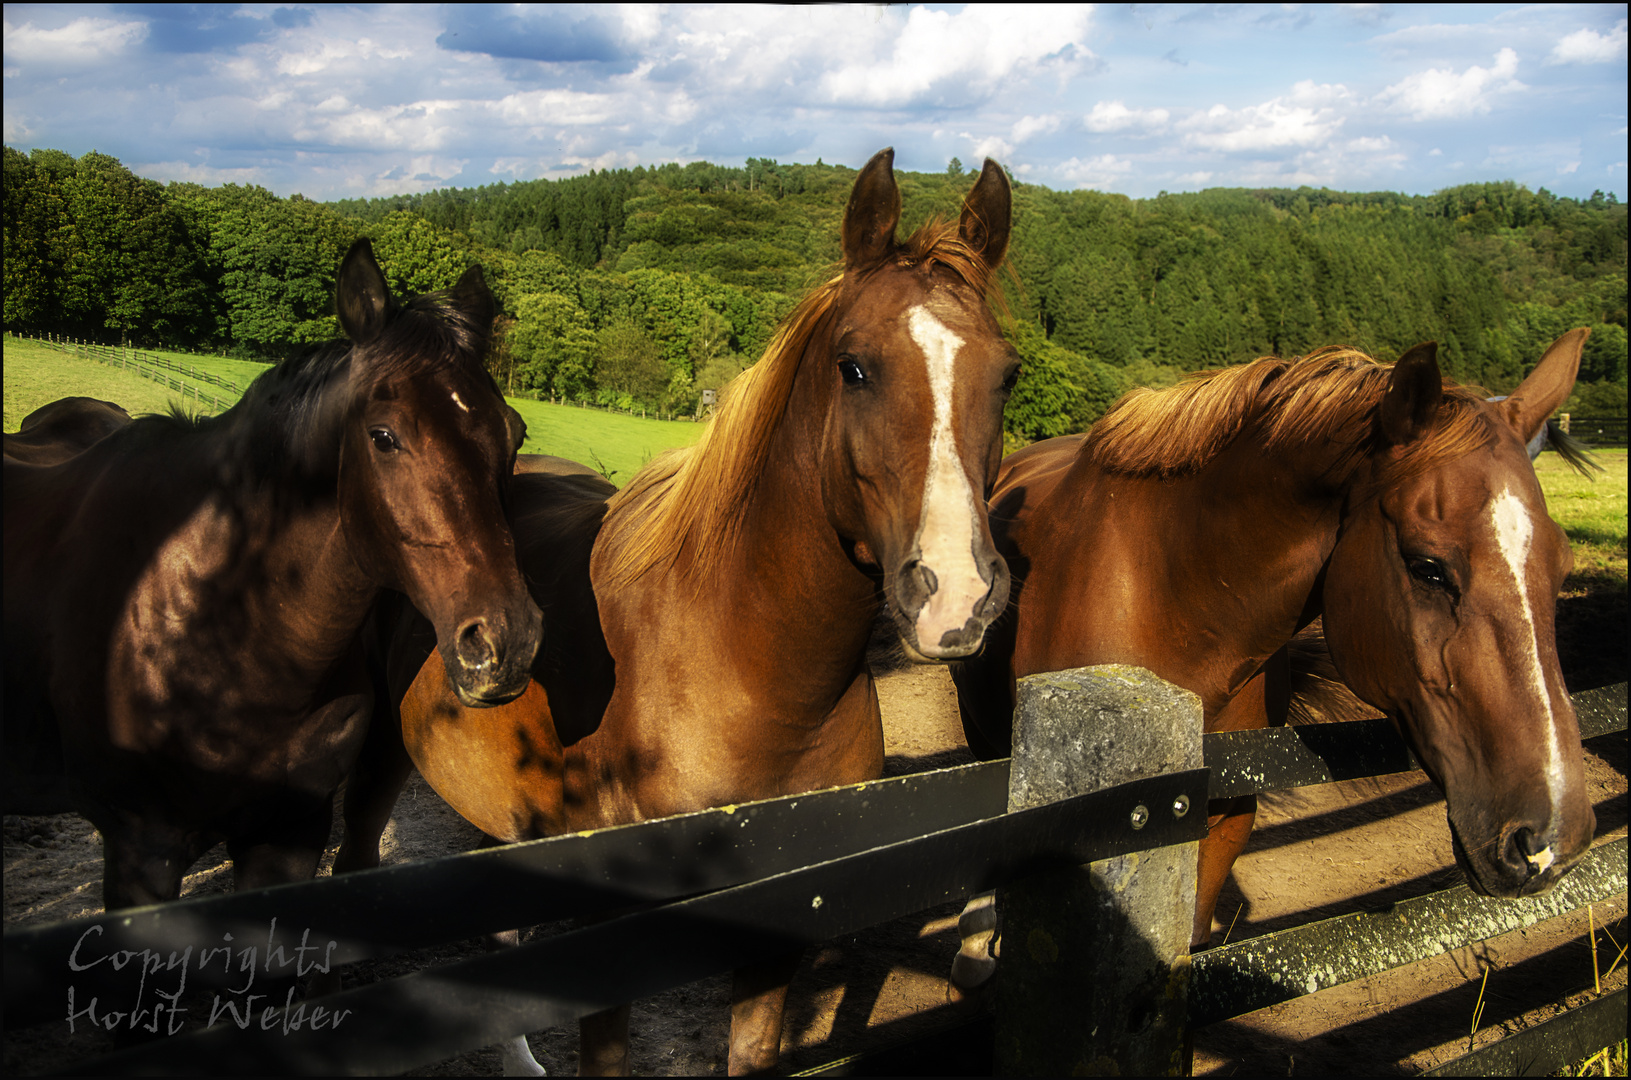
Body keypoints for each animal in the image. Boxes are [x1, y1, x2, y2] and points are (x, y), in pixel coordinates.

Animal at [334, 148, 1017, 1076]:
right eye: (854, 366)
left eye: (1006, 375)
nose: (956, 594)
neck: (744, 674)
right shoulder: (612, 936)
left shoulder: (776, 929)